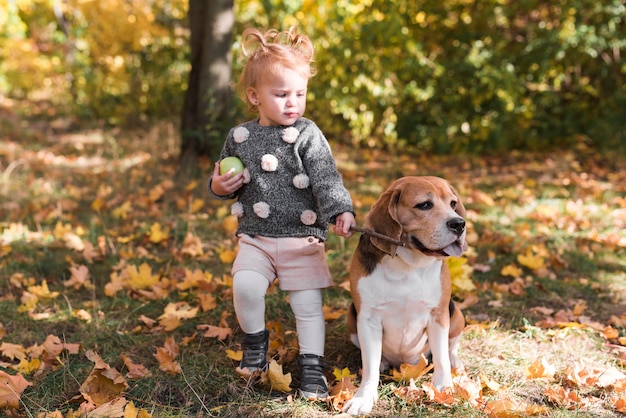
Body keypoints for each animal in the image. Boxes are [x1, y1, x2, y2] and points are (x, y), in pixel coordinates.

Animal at [342, 176, 464, 414]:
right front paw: (364, 397)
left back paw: (456, 362)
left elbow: (441, 356)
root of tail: (405, 363)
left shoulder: (438, 315)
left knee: (451, 347)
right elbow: (370, 366)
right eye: (424, 205)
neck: (409, 264)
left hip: (456, 315)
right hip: (352, 318)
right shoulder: (367, 319)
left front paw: (443, 387)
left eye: (453, 204)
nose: (459, 224)